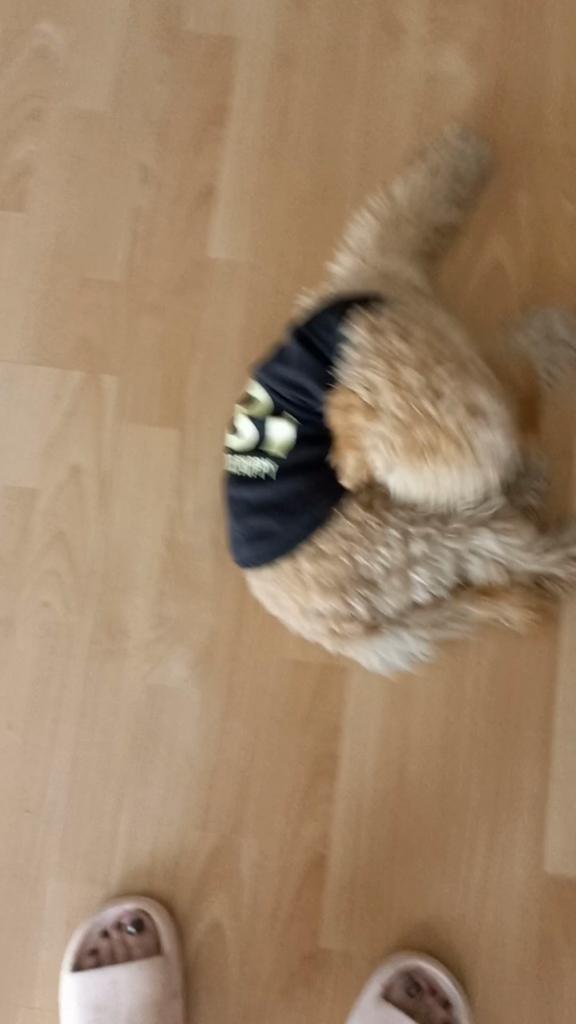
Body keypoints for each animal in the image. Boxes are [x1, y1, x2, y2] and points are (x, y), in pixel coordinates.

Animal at [224, 127, 576, 675]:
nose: (506, 468)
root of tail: (342, 634)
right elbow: (520, 352)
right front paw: (556, 339)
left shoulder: (381, 255)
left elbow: (419, 196)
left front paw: (461, 155)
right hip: (429, 540)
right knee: (519, 556)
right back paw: (555, 535)